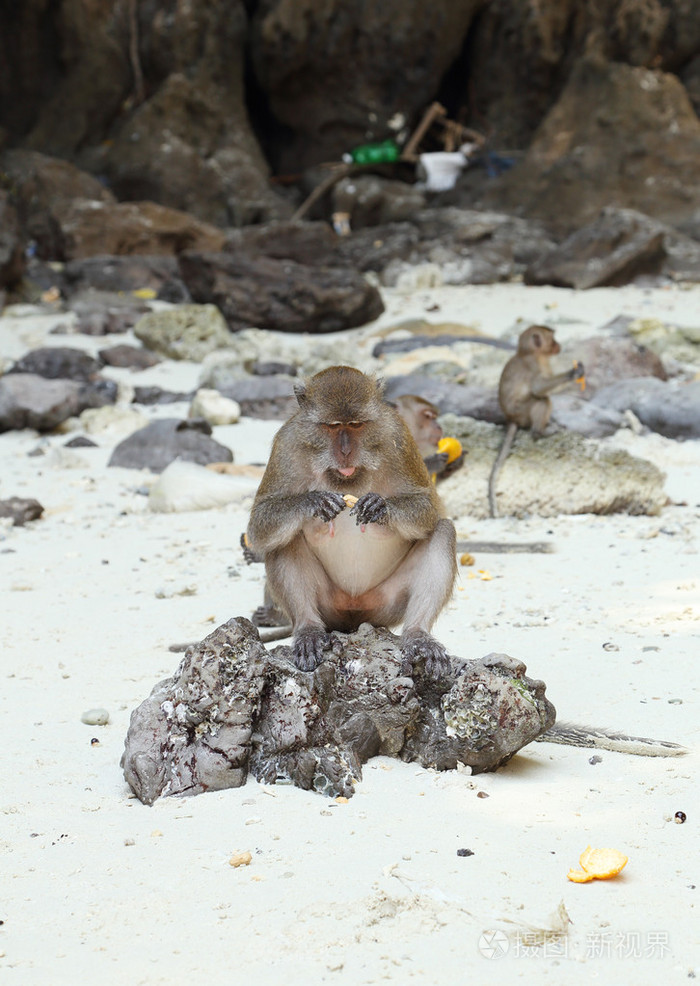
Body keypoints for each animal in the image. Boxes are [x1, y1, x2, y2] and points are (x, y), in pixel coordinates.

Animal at [486, 324, 584, 524]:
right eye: (552, 340)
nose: (559, 345)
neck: (530, 353)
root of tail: (511, 418)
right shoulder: (535, 365)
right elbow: (538, 389)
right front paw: (573, 373)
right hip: (522, 411)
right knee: (541, 400)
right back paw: (540, 432)